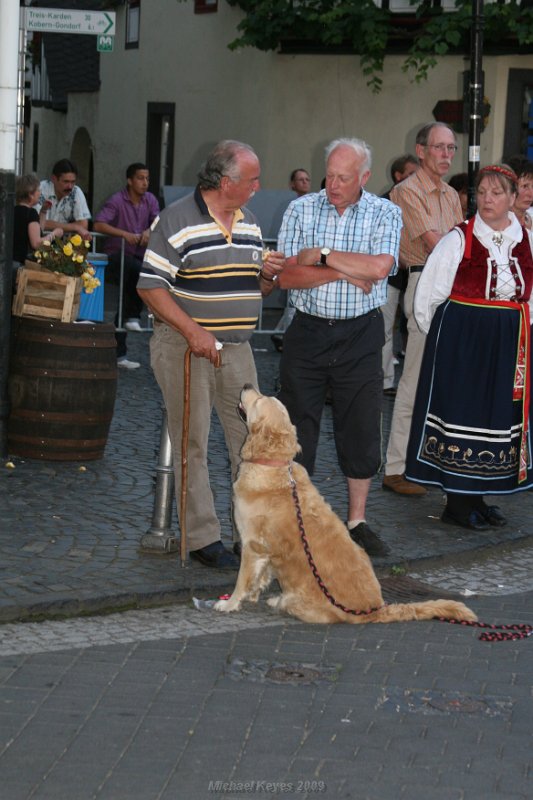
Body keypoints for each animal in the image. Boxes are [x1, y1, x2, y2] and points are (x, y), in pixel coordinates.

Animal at [214, 384, 476, 628]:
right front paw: (253, 594)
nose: (247, 384)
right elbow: (260, 575)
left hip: (297, 600)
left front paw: (230, 603)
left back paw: (276, 600)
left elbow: (242, 579)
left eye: (259, 400)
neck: (272, 465)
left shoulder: (251, 544)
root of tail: (375, 609)